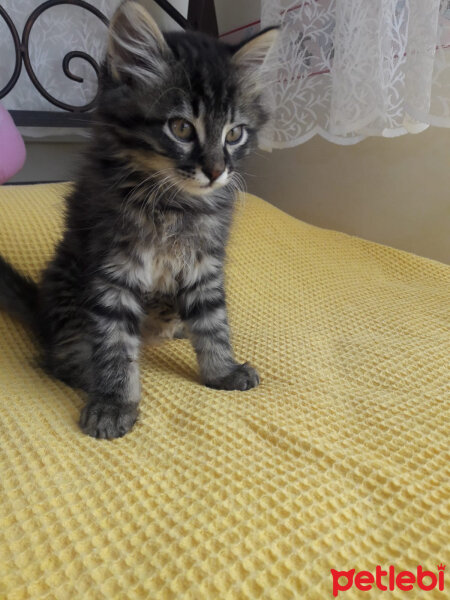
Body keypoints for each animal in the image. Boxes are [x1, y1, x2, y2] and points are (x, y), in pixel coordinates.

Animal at [0, 2, 278, 438]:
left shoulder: (204, 264)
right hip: (68, 280)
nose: (217, 171)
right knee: (60, 358)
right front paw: (115, 401)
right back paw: (88, 372)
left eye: (234, 134)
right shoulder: (112, 270)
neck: (175, 203)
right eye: (181, 128)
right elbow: (114, 343)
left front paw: (223, 371)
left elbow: (213, 323)